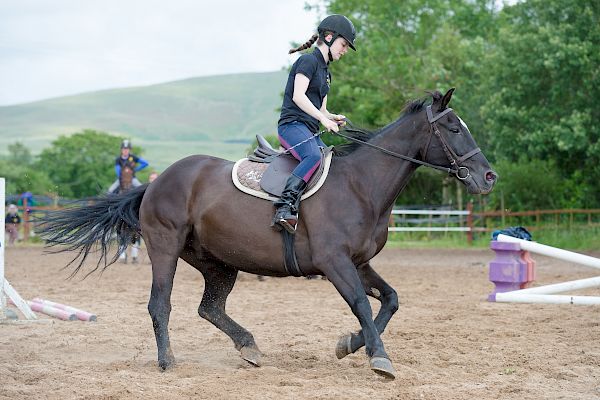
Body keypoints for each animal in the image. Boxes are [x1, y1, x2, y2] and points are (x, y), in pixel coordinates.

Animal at [38, 89, 496, 380]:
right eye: (454, 128)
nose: (488, 177)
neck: (361, 186)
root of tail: (158, 181)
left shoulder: (359, 262)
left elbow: (390, 301)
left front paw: (351, 344)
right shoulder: (335, 263)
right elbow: (363, 306)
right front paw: (379, 359)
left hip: (218, 263)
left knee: (209, 308)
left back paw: (248, 347)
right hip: (165, 247)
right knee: (160, 304)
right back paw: (168, 362)